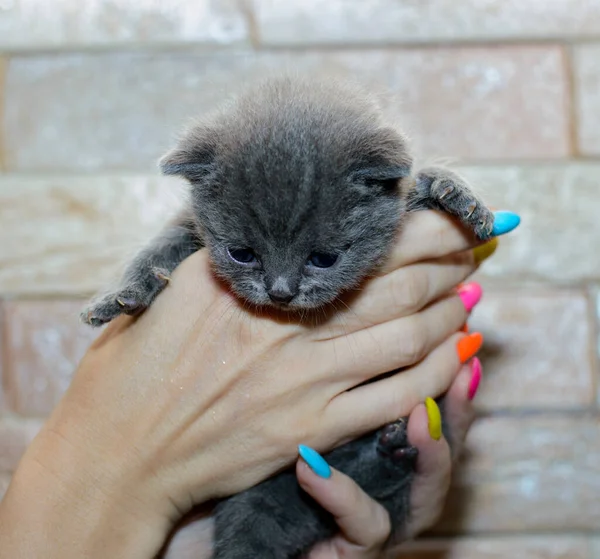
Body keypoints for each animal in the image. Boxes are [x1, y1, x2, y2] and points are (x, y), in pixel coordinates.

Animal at [79, 77, 492, 559]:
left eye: (324, 259)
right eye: (242, 253)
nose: (280, 291)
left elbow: (423, 185)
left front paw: (455, 192)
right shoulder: (186, 227)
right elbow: (160, 245)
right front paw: (120, 295)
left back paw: (392, 450)